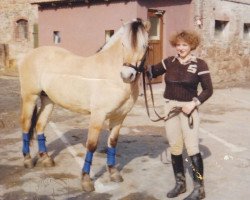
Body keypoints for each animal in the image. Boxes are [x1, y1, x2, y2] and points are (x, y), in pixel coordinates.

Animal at [18, 18, 150, 192]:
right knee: (27, 126)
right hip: (30, 97)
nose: (127, 75)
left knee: (39, 125)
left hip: (48, 100)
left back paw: (46, 159)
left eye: (144, 45)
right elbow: (92, 145)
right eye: (123, 44)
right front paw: (86, 180)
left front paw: (113, 173)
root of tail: (29, 55)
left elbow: (112, 143)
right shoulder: (98, 116)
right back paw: (27, 160)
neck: (111, 75)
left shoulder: (120, 117)